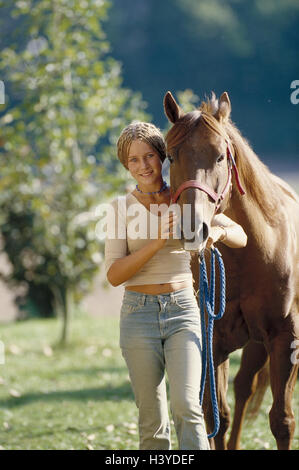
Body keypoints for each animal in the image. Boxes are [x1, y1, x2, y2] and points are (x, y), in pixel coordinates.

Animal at [164, 90, 299, 450]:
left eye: (220, 156)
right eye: (170, 155)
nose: (193, 227)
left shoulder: (285, 338)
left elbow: (282, 421)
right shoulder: (212, 341)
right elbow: (216, 417)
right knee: (241, 389)